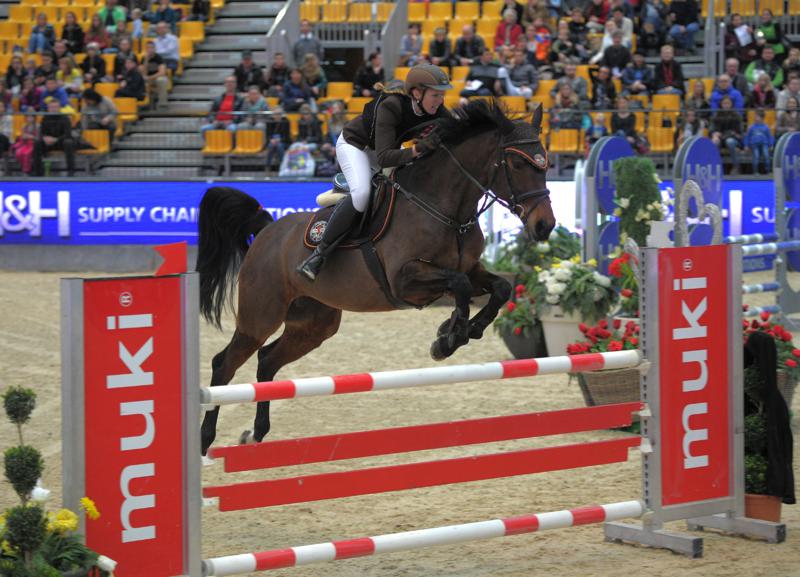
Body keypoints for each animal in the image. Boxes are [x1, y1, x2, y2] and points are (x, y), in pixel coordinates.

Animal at [197, 100, 556, 454]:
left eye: (546, 164)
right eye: (518, 164)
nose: (545, 226)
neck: (444, 209)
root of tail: (267, 232)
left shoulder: (469, 268)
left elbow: (499, 287)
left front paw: (461, 330)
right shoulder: (405, 280)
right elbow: (461, 285)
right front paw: (449, 336)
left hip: (314, 324)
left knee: (267, 360)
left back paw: (256, 433)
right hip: (261, 316)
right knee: (224, 363)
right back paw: (205, 438)